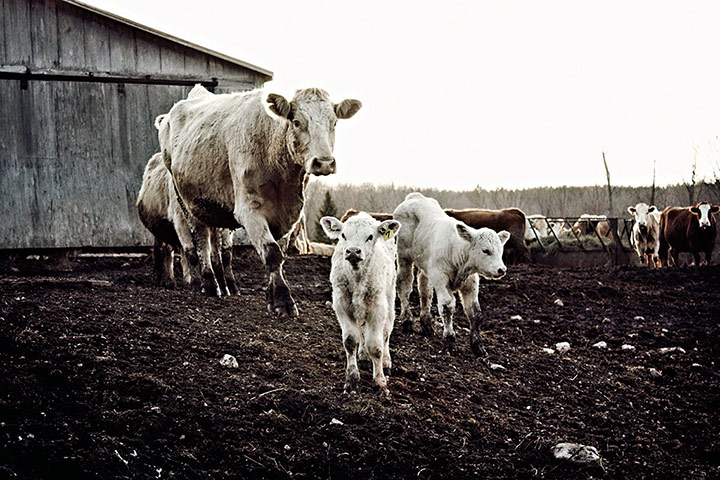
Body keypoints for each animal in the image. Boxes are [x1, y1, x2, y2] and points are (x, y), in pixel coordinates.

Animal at [159, 84, 361, 314]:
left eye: (334, 122)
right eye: (296, 122)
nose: (325, 162)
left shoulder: (288, 215)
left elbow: (279, 254)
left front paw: (271, 297)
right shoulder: (249, 210)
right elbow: (272, 253)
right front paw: (284, 301)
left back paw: (225, 285)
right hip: (186, 201)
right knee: (201, 242)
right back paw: (209, 285)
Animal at [320, 212, 401, 396]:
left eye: (370, 237)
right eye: (343, 235)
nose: (352, 251)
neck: (357, 278)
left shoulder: (377, 309)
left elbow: (376, 346)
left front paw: (380, 382)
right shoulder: (342, 305)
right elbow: (350, 341)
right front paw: (351, 380)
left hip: (389, 295)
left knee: (386, 331)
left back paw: (386, 361)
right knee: (363, 332)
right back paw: (363, 354)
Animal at [393, 193, 509, 356]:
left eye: (501, 250)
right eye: (485, 250)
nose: (501, 270)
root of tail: (414, 196)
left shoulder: (470, 283)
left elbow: (475, 312)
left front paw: (477, 346)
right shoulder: (441, 278)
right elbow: (447, 307)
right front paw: (449, 341)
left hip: (426, 266)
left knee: (425, 291)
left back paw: (426, 324)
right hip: (404, 257)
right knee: (404, 286)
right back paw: (407, 321)